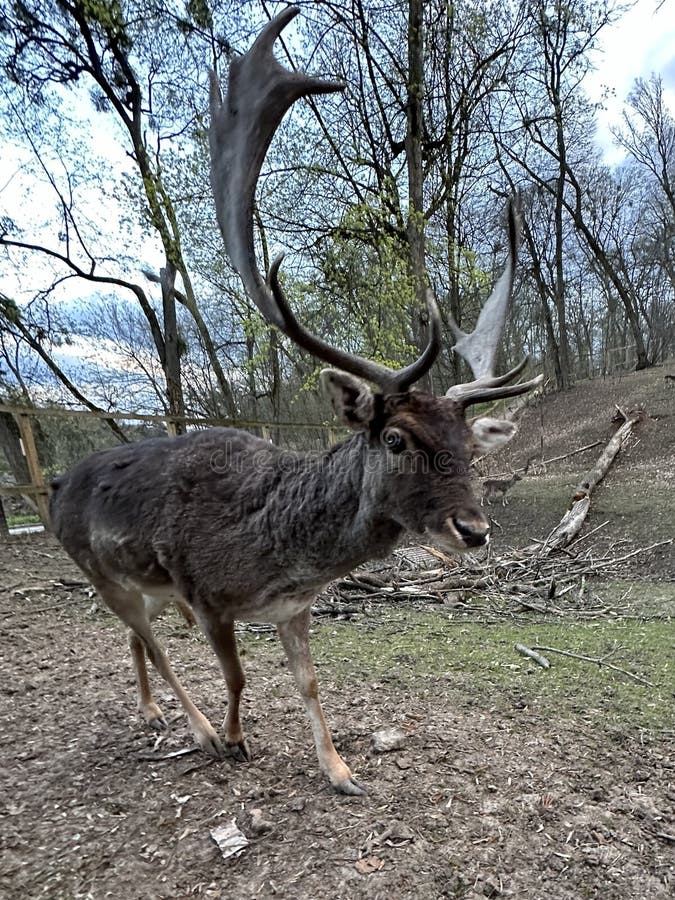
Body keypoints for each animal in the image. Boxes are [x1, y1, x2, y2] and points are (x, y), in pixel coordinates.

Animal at [48, 7, 544, 796]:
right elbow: (237, 677)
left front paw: (341, 770)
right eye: (396, 439)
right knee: (152, 641)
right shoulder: (204, 597)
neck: (276, 552)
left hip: (140, 583)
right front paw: (233, 738)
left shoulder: (296, 606)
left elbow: (309, 684)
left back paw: (153, 711)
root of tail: (55, 482)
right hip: (104, 573)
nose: (473, 529)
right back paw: (193, 728)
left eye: (470, 446)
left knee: (134, 639)